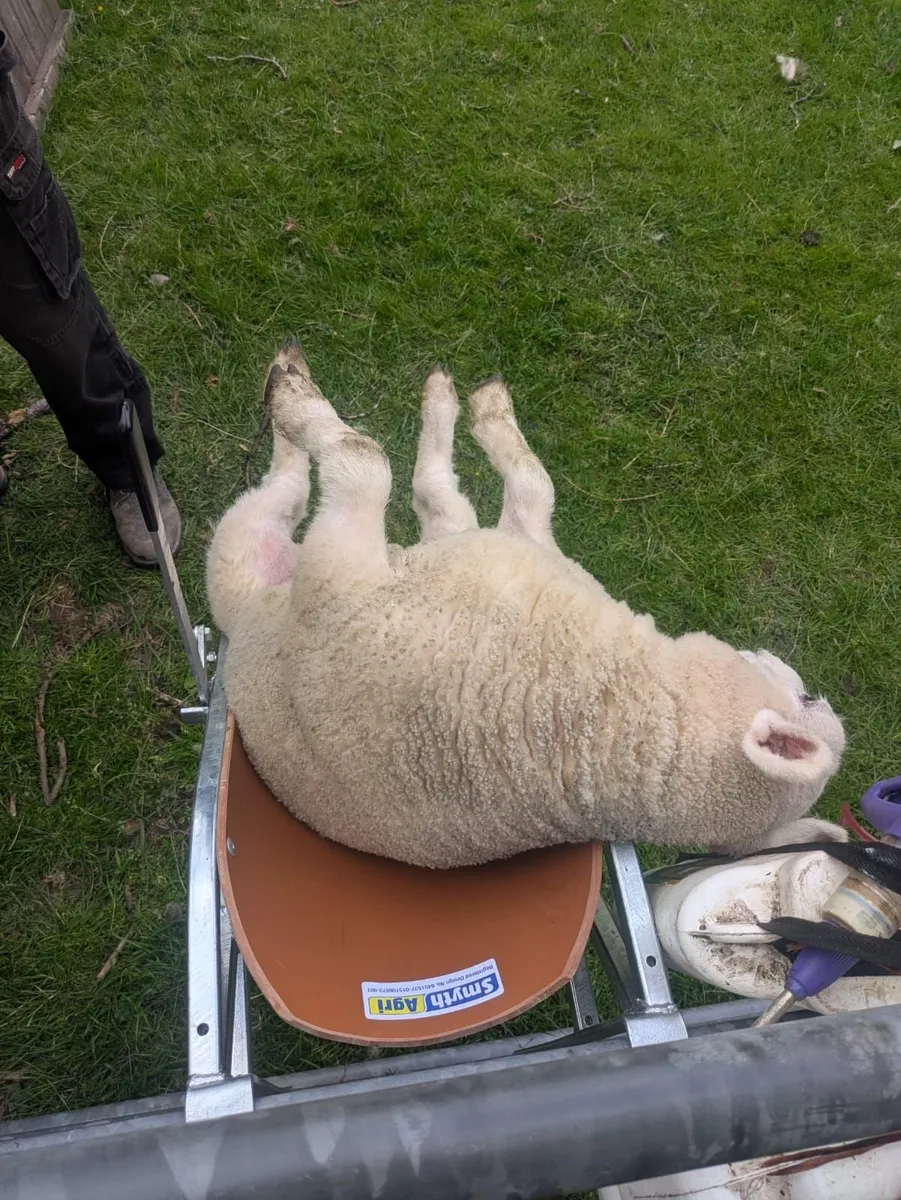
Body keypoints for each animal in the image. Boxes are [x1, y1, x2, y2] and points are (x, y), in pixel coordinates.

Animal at [205, 339, 848, 869]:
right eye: (809, 697)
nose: (810, 685)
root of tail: (242, 615)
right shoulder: (505, 545)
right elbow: (520, 486)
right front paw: (471, 404)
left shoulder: (342, 580)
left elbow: (370, 462)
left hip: (248, 551)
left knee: (291, 489)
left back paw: (286, 394)